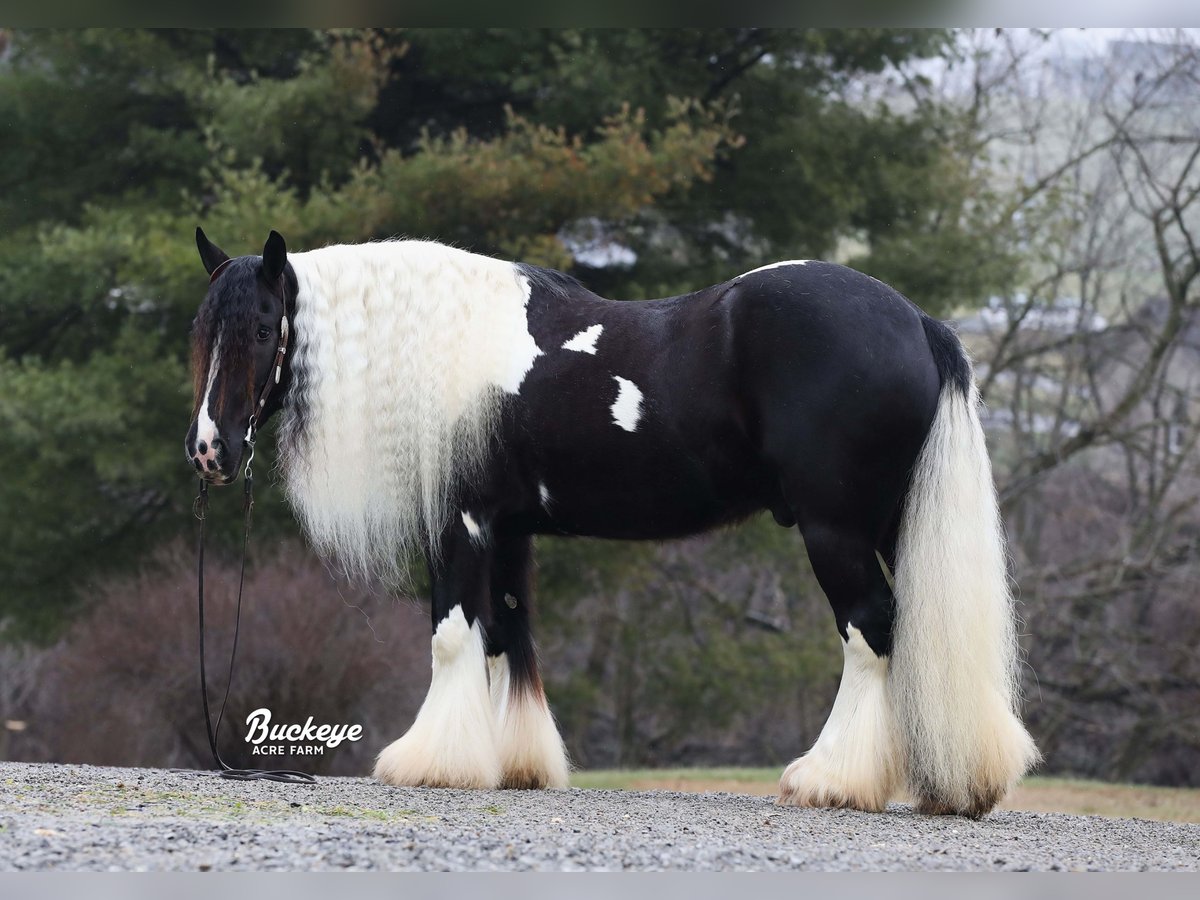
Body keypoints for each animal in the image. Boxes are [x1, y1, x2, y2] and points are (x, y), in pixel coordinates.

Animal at [182, 229, 1036, 820]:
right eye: (201, 333)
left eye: (260, 329)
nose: (211, 451)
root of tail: (916, 320)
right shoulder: (510, 530)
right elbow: (508, 635)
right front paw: (518, 766)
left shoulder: (463, 524)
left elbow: (454, 635)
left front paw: (431, 762)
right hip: (890, 521)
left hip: (836, 530)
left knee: (870, 630)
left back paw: (831, 779)